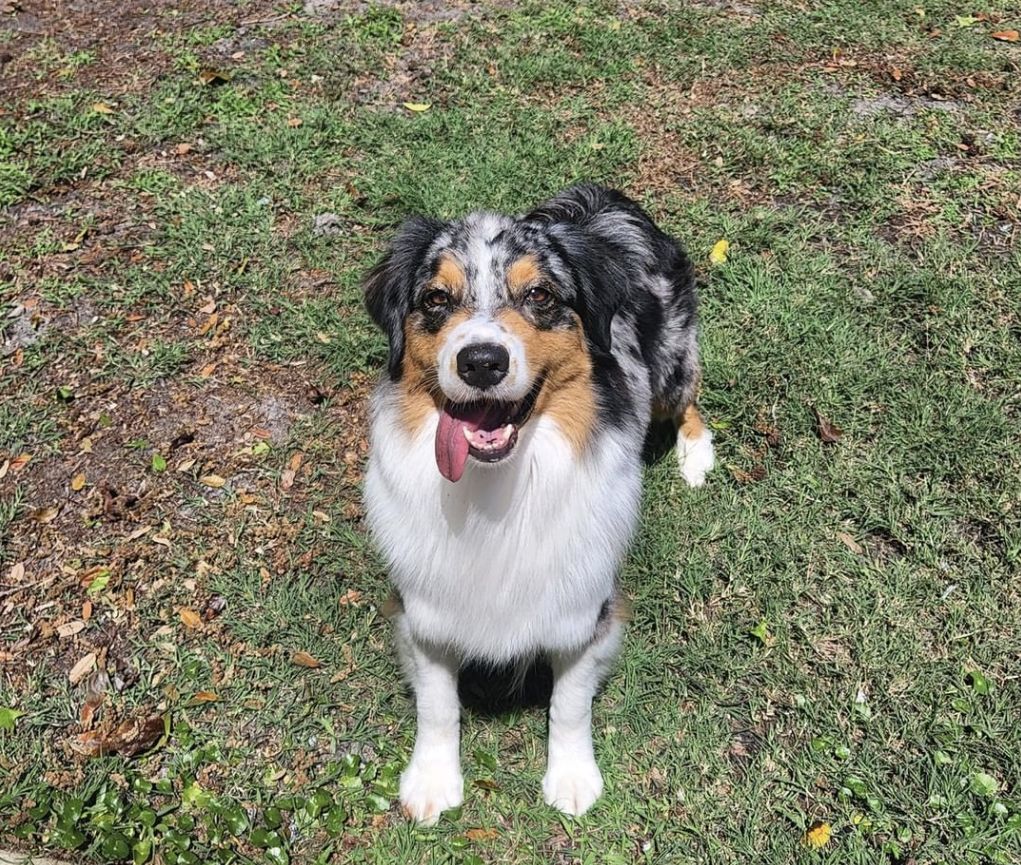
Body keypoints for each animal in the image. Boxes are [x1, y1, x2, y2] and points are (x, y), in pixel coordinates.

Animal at [363, 184, 714, 825]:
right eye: (435, 299)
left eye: (541, 296)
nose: (481, 361)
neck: (498, 488)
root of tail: (603, 196)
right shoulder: (423, 607)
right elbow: (437, 703)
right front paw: (432, 781)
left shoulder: (584, 610)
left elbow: (569, 704)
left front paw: (572, 779)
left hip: (673, 361)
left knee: (688, 398)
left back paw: (695, 456)